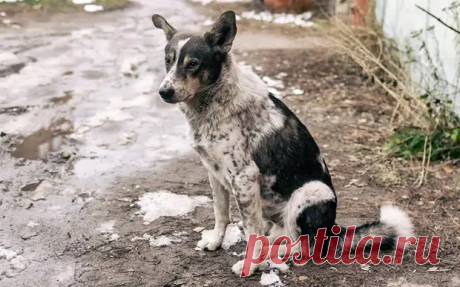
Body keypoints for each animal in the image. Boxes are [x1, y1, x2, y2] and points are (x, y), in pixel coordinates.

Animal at [151, 11, 414, 276]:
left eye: (193, 64)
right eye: (168, 61)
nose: (164, 92)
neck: (210, 106)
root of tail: (333, 230)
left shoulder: (243, 177)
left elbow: (250, 230)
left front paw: (250, 265)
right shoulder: (214, 173)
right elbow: (221, 214)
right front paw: (216, 241)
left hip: (310, 192)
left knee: (303, 245)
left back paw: (273, 253)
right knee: (279, 234)